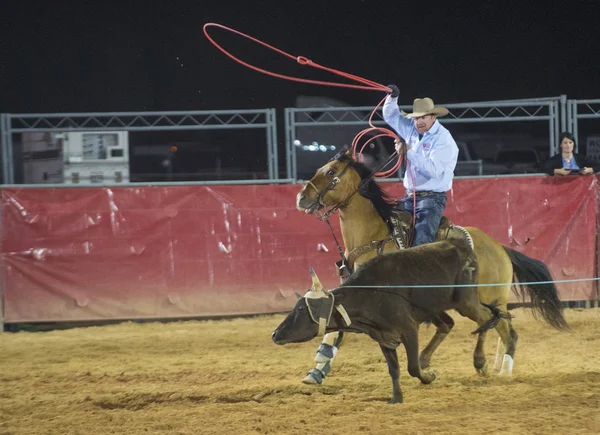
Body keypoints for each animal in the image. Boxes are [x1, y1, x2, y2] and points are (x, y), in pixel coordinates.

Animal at [296, 151, 568, 384]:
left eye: (331, 172)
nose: (301, 197)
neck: (374, 236)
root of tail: (499, 247)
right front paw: (316, 370)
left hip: (489, 298)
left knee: (500, 327)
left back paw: (498, 367)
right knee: (486, 325)